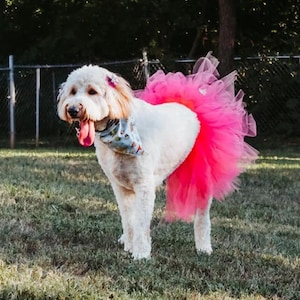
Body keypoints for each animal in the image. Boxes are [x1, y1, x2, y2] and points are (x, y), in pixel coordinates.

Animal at [56, 54, 258, 260]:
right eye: (72, 91)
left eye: (92, 91)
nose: (72, 109)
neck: (119, 129)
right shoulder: (120, 187)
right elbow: (128, 220)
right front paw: (130, 245)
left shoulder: (144, 185)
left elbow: (140, 222)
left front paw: (141, 253)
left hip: (202, 178)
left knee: (203, 216)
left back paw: (203, 247)